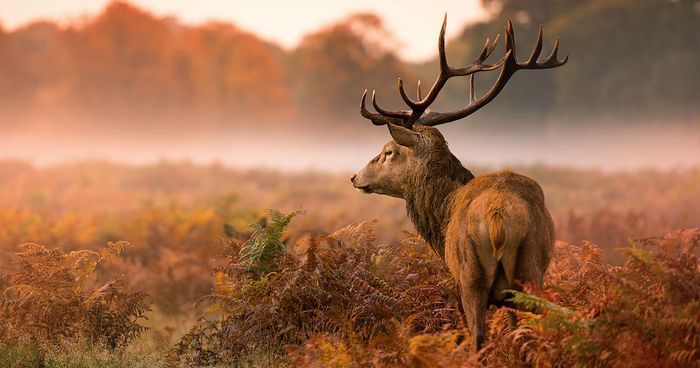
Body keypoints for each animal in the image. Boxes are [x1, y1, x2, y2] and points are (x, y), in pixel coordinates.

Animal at [350, 18, 568, 350]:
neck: (443, 211)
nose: (355, 176)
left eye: (388, 151)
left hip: (472, 276)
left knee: (477, 338)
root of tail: (498, 218)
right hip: (532, 268)